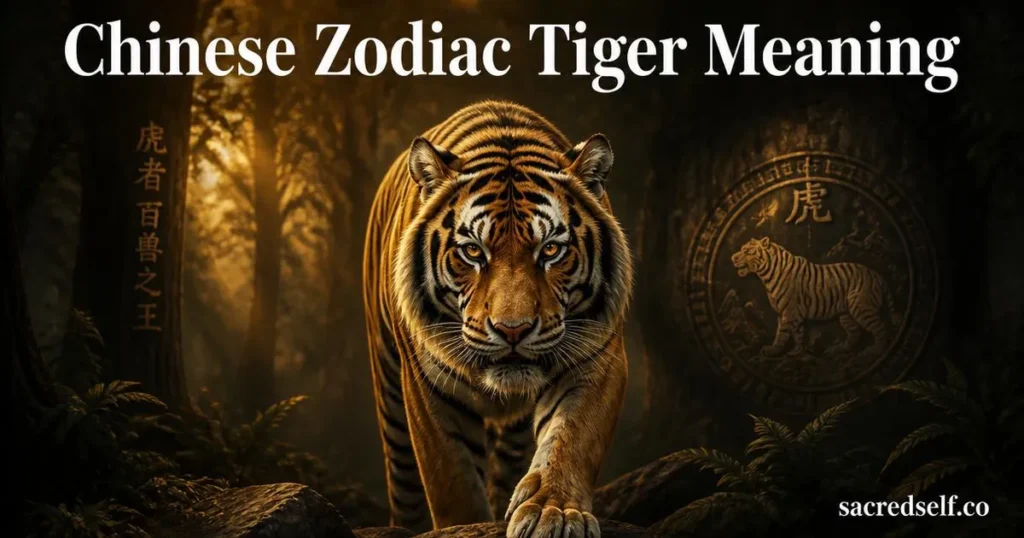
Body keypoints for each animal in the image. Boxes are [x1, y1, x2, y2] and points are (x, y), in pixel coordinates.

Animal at [362, 100, 633, 538]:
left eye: (551, 249)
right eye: (473, 251)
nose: (513, 330)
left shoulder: (597, 358)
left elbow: (571, 439)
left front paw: (554, 512)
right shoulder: (426, 386)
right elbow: (452, 479)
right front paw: (465, 526)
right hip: (391, 399)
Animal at [730, 237, 900, 357]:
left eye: (748, 251)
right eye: (742, 249)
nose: (733, 258)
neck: (766, 276)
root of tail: (877, 275)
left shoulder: (789, 311)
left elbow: (782, 334)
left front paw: (772, 350)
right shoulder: (790, 313)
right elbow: (798, 333)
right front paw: (797, 352)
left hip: (861, 307)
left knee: (880, 328)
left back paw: (874, 351)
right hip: (845, 313)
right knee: (854, 332)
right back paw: (837, 349)